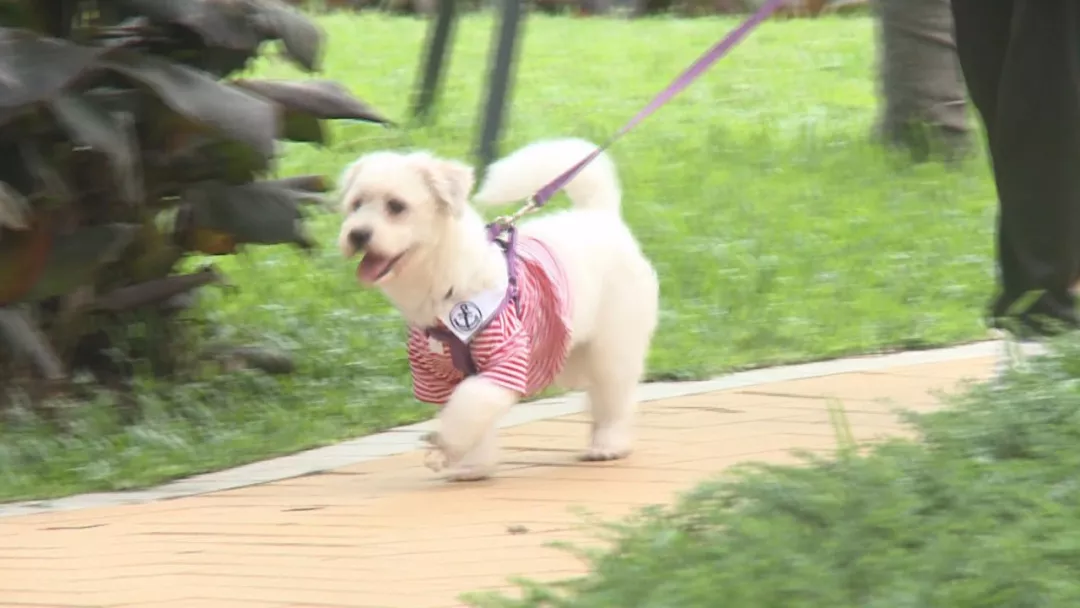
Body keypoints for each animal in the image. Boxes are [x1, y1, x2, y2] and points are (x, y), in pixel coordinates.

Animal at [337, 138, 659, 481]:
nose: (357, 234)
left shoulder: (504, 358)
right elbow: (471, 415)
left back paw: (608, 444)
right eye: (356, 204)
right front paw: (471, 465)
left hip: (613, 346)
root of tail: (601, 217)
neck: (448, 281)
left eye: (396, 206)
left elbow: (470, 404)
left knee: (614, 397)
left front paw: (445, 444)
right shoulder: (437, 373)